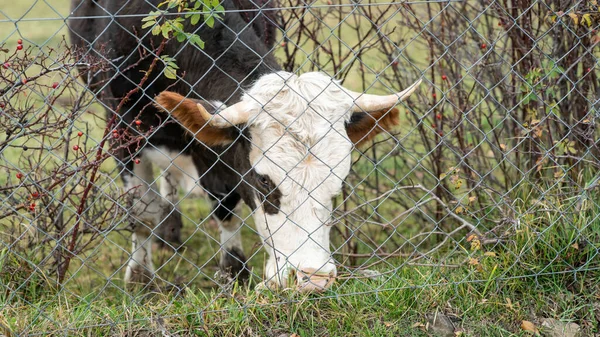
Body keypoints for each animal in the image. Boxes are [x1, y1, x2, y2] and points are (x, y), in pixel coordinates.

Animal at [68, 0, 420, 290]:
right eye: (264, 181)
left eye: (339, 181)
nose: (313, 278)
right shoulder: (121, 123)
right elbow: (141, 212)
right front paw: (141, 277)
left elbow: (224, 200)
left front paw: (233, 269)